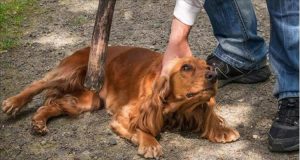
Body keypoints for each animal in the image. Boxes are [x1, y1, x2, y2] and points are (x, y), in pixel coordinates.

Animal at [1, 46, 239, 158]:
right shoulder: (123, 116)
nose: (213, 75)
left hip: (89, 99)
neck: (174, 107)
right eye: (186, 67)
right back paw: (13, 102)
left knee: (53, 104)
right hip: (69, 71)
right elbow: (142, 129)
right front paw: (150, 144)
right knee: (38, 84)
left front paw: (221, 129)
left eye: (208, 67)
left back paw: (38, 122)